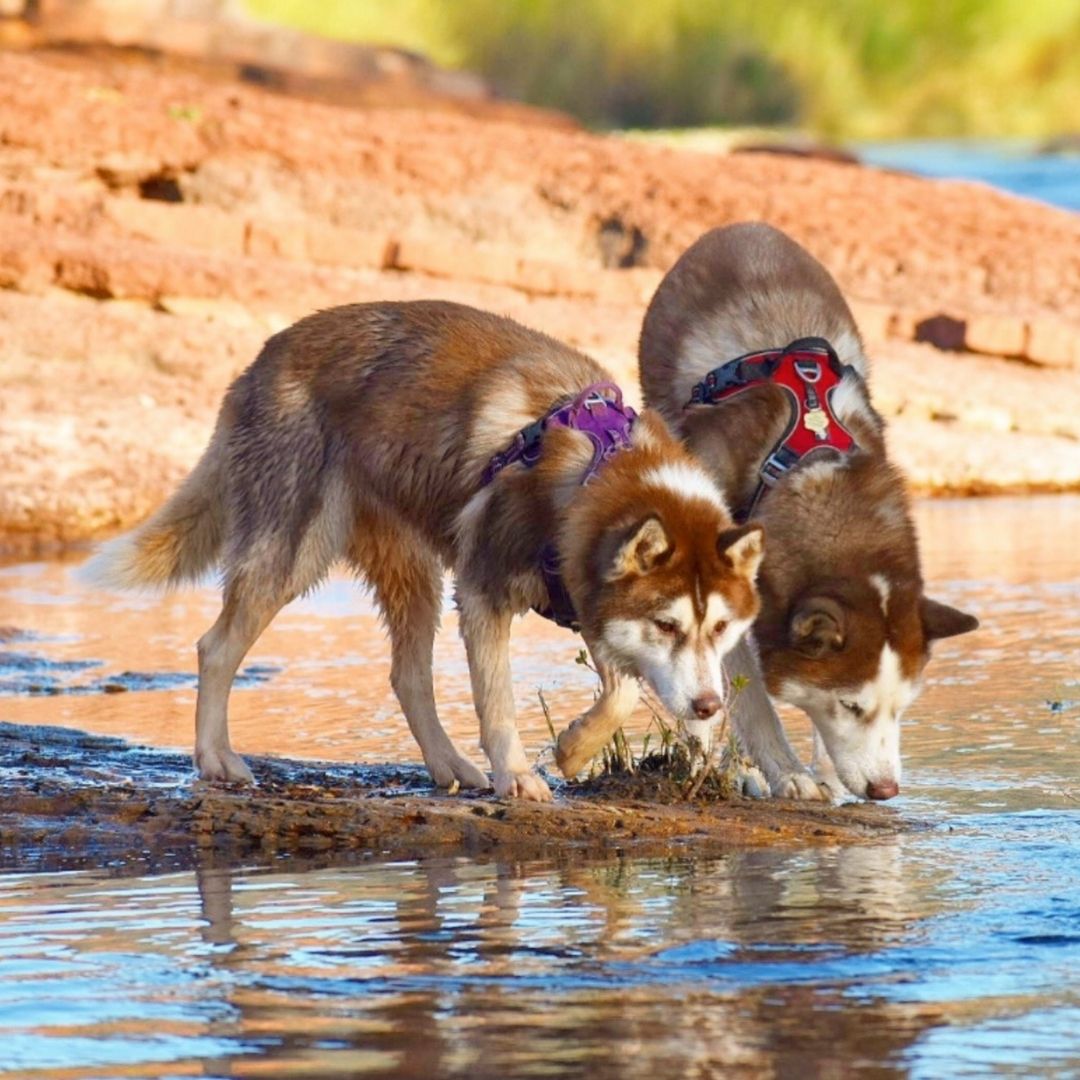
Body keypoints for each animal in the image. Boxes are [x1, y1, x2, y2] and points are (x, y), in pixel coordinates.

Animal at [86, 300, 768, 799]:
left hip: (411, 572)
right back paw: (216, 758)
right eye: (667, 625)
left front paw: (573, 748)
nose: (708, 706)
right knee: (216, 648)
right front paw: (518, 775)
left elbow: (621, 691)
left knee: (407, 674)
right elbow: (497, 701)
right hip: (292, 553)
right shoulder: (485, 589)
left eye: (721, 629)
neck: (599, 467)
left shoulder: (583, 590)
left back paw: (447, 765)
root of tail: (262, 358)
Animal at [630, 225, 980, 803]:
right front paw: (785, 772)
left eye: (902, 708)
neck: (812, 468)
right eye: (851, 706)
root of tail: (742, 226)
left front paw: (826, 774)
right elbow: (745, 697)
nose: (886, 790)